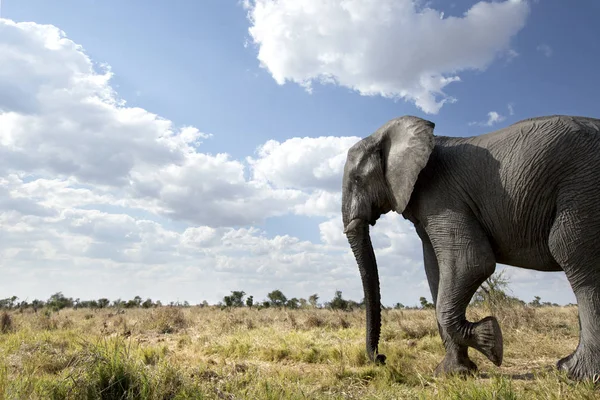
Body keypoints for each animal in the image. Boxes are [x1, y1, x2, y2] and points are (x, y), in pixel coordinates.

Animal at [340, 114, 600, 380]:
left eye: (358, 179)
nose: (381, 358)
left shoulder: (442, 196)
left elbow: (472, 262)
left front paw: (492, 344)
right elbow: (435, 272)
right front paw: (453, 373)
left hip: (583, 186)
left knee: (572, 254)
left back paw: (575, 374)